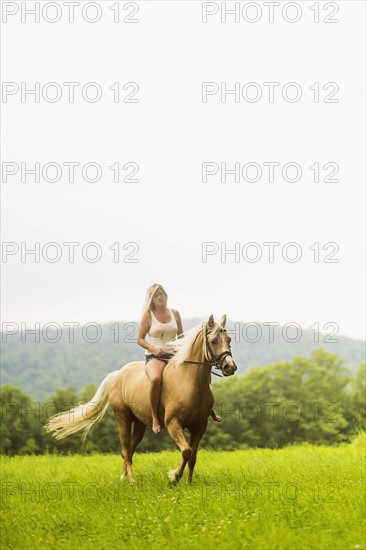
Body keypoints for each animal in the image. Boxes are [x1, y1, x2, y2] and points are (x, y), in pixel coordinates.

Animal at [45, 316, 237, 486]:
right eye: (213, 341)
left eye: (228, 339)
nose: (230, 367)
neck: (190, 381)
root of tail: (117, 374)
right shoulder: (173, 424)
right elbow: (186, 451)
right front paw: (173, 478)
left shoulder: (200, 426)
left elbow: (193, 456)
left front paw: (188, 484)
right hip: (122, 418)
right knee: (125, 450)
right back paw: (132, 482)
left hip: (139, 424)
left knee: (129, 450)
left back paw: (123, 479)